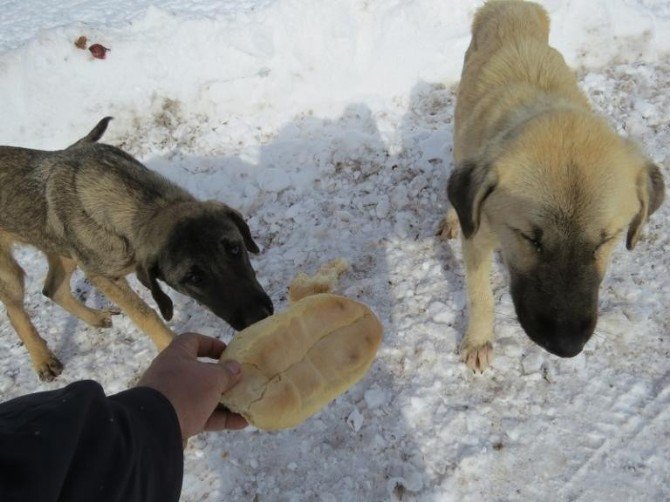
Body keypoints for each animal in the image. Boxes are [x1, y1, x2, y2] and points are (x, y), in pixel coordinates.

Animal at [446, 0, 668, 372]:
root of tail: (511, 6)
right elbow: (480, 295)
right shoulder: (477, 236)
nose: (567, 347)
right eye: (530, 238)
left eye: (605, 240)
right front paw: (478, 340)